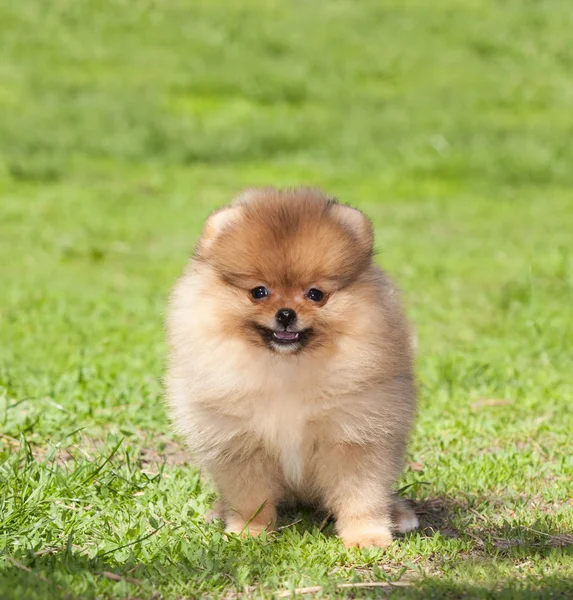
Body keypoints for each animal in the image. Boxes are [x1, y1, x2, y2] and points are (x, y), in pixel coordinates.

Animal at [164, 188, 416, 548]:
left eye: (315, 294)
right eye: (259, 292)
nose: (285, 314)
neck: (286, 369)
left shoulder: (356, 437)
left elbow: (362, 496)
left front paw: (366, 536)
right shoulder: (242, 444)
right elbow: (251, 498)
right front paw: (249, 531)